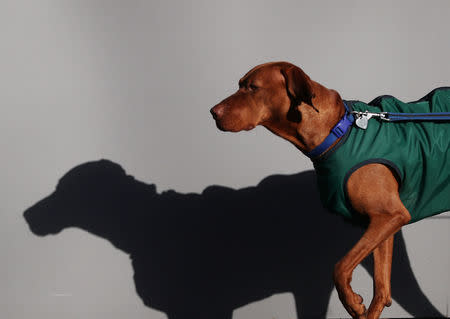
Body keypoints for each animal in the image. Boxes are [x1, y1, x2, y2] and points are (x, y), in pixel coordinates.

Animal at [211, 62, 450, 319]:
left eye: (253, 87)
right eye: (239, 85)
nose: (213, 112)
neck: (336, 130)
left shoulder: (390, 216)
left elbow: (340, 267)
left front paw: (352, 303)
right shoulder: (383, 221)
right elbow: (382, 290)